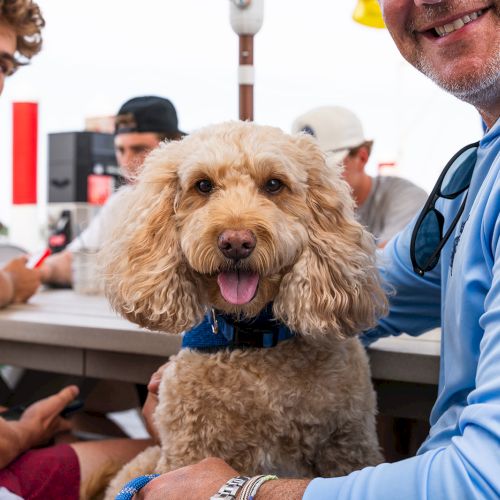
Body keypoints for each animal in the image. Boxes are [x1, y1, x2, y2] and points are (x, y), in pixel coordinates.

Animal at [102, 120, 386, 496]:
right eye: (203, 185)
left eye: (274, 184)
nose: (236, 241)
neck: (254, 339)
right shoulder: (186, 450)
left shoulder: (348, 446)